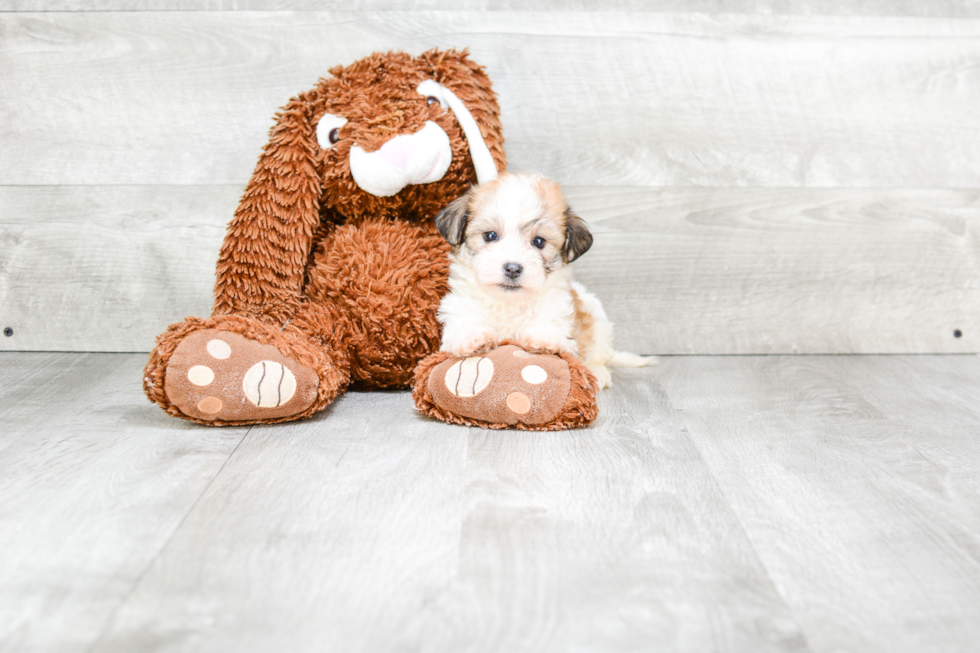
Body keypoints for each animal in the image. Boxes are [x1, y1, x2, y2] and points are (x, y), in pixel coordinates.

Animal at [434, 171, 652, 390]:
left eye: (539, 242)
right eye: (490, 236)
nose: (512, 268)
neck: (508, 303)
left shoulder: (559, 306)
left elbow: (549, 319)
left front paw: (542, 337)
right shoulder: (460, 304)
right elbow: (465, 320)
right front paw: (473, 336)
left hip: (597, 318)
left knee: (597, 353)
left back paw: (598, 373)